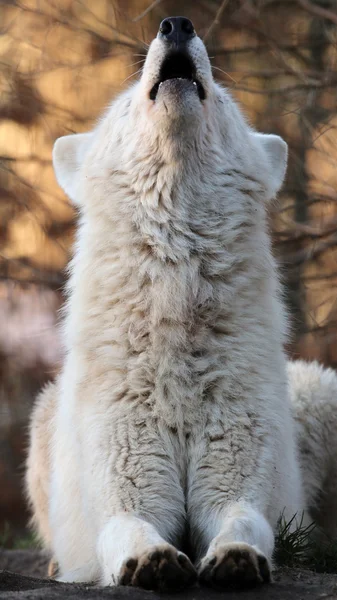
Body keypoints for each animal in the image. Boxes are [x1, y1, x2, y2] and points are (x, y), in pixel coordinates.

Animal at [25, 16, 334, 592]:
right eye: (127, 103)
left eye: (225, 100)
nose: (175, 24)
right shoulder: (127, 486)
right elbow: (131, 527)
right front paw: (152, 561)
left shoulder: (238, 485)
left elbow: (242, 521)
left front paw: (235, 558)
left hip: (319, 391)